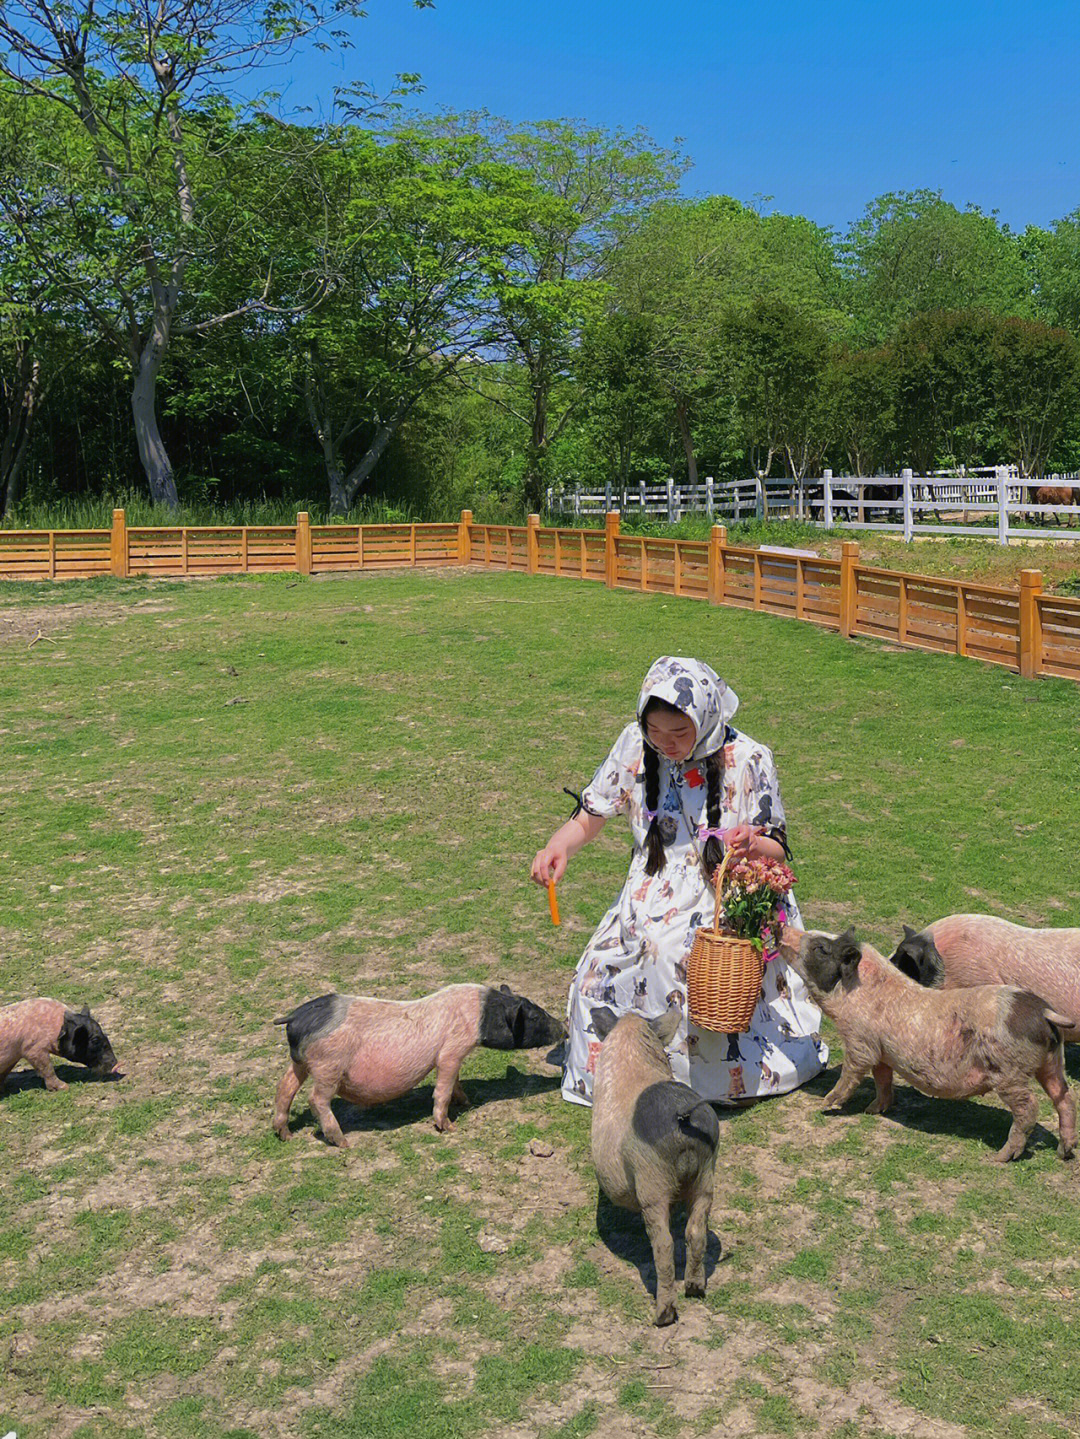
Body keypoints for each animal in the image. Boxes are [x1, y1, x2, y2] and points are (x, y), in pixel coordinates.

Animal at [271, 978, 566, 1145]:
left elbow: (455, 1082)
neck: (481, 1013)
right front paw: (449, 1127)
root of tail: (295, 1017)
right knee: (315, 1099)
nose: (564, 1027)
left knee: (284, 1087)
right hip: (328, 1066)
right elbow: (443, 1087)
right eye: (534, 1016)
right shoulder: (453, 1050)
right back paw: (342, 1142)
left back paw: (285, 1136)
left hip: (300, 1062)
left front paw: (466, 1102)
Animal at [592, 1001, 719, 1323]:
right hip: (706, 1174)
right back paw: (695, 1289)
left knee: (663, 1244)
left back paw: (664, 1315)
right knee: (696, 1232)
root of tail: (681, 1115)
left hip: (651, 1181)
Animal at [782, 926, 1075, 1162]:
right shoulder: (882, 1051)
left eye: (821, 948)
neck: (858, 991)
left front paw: (825, 1104)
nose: (781, 927)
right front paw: (873, 1110)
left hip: (1009, 1072)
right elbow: (882, 1079)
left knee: (1030, 1108)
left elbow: (852, 1072)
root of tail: (1042, 1012)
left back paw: (1001, 1157)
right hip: (1052, 1060)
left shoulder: (860, 1041)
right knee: (1064, 1097)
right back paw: (1065, 1152)